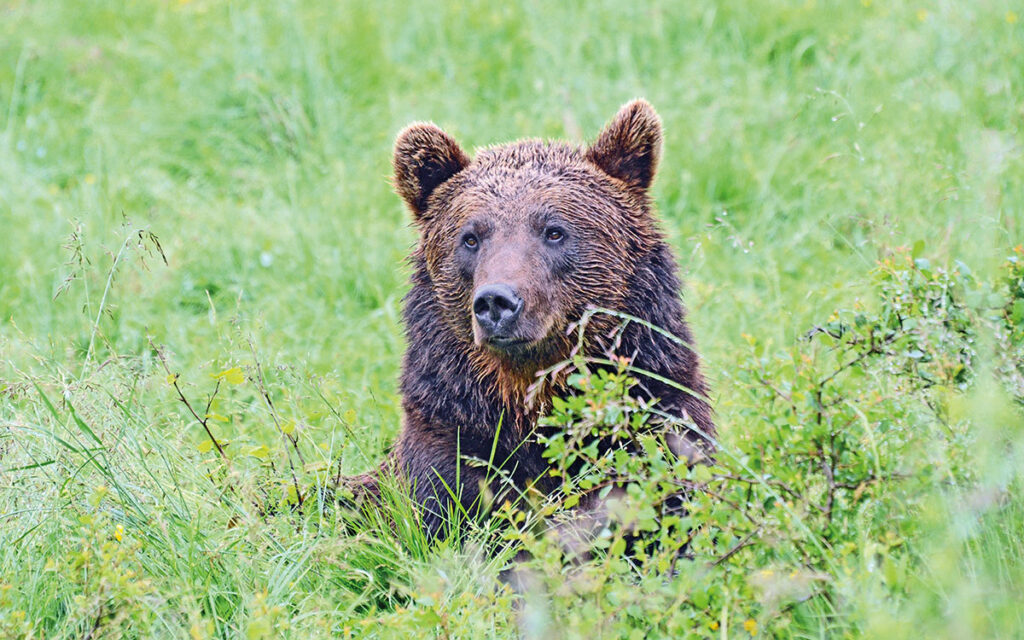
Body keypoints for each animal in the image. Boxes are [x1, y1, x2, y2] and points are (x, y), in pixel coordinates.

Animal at [350, 100, 712, 540]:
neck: (531, 396)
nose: (496, 301)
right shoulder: (449, 434)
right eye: (470, 237)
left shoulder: (657, 412)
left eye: (554, 231)